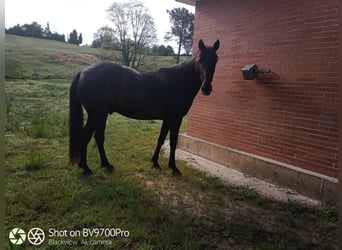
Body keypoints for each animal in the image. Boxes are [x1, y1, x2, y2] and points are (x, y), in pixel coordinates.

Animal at [69, 39, 219, 176]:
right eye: (200, 60)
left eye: (215, 61)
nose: (206, 88)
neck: (179, 81)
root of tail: (84, 71)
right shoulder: (176, 119)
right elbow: (173, 142)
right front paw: (173, 167)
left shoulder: (168, 119)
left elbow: (161, 139)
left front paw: (155, 163)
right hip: (95, 114)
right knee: (86, 136)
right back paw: (86, 168)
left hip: (102, 115)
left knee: (99, 137)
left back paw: (106, 165)